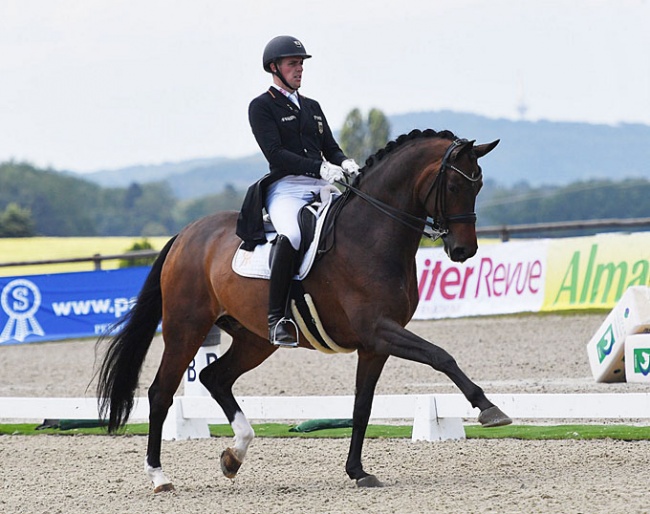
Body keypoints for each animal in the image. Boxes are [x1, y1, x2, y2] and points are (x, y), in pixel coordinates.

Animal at [96, 127, 512, 488]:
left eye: (478, 185)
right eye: (455, 185)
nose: (464, 250)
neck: (372, 234)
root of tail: (185, 235)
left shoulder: (374, 345)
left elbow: (362, 407)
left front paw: (358, 471)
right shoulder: (380, 329)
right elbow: (441, 356)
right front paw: (488, 408)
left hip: (254, 339)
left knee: (216, 378)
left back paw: (234, 456)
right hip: (187, 328)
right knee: (160, 393)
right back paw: (159, 476)